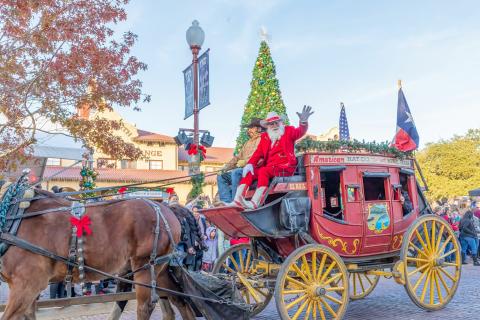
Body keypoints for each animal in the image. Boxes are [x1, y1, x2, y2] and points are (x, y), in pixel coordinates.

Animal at [0, 190, 195, 320]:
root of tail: (164, 206)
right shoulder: (28, 291)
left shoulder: (27, 285)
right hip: (157, 268)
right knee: (179, 301)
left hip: (145, 265)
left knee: (145, 307)